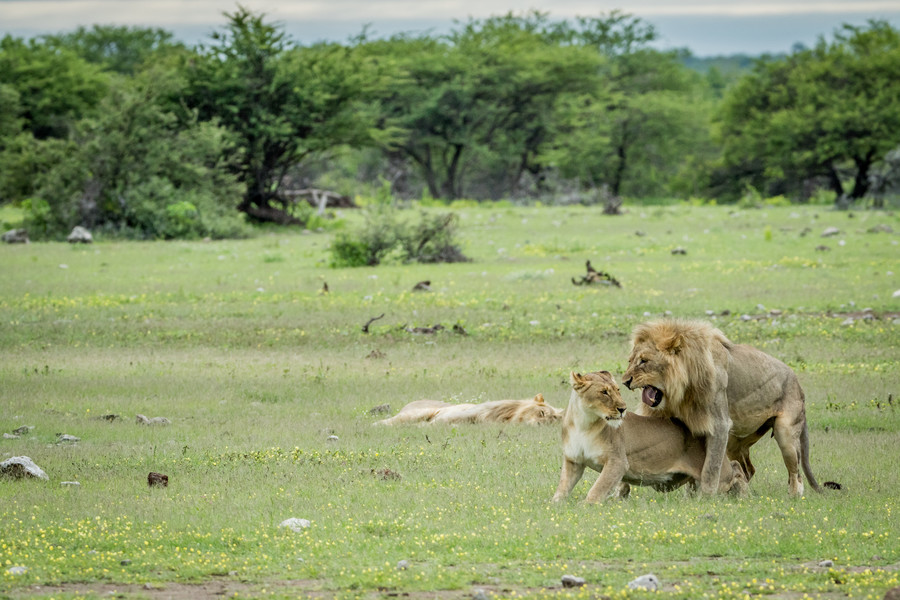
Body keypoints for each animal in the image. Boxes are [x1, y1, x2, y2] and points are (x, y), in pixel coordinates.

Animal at [552, 370, 748, 502]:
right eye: (604, 392)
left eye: (617, 390)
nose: (623, 409)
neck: (584, 424)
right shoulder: (573, 461)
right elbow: (563, 485)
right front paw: (554, 504)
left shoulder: (617, 461)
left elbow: (598, 488)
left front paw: (585, 505)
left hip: (714, 471)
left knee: (736, 469)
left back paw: (744, 495)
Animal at [624, 318, 824, 496]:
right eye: (630, 361)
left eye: (644, 361)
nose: (625, 381)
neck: (680, 390)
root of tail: (798, 384)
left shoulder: (719, 424)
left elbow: (710, 468)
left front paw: (705, 498)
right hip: (735, 442)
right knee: (748, 469)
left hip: (785, 432)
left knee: (795, 472)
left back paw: (793, 496)